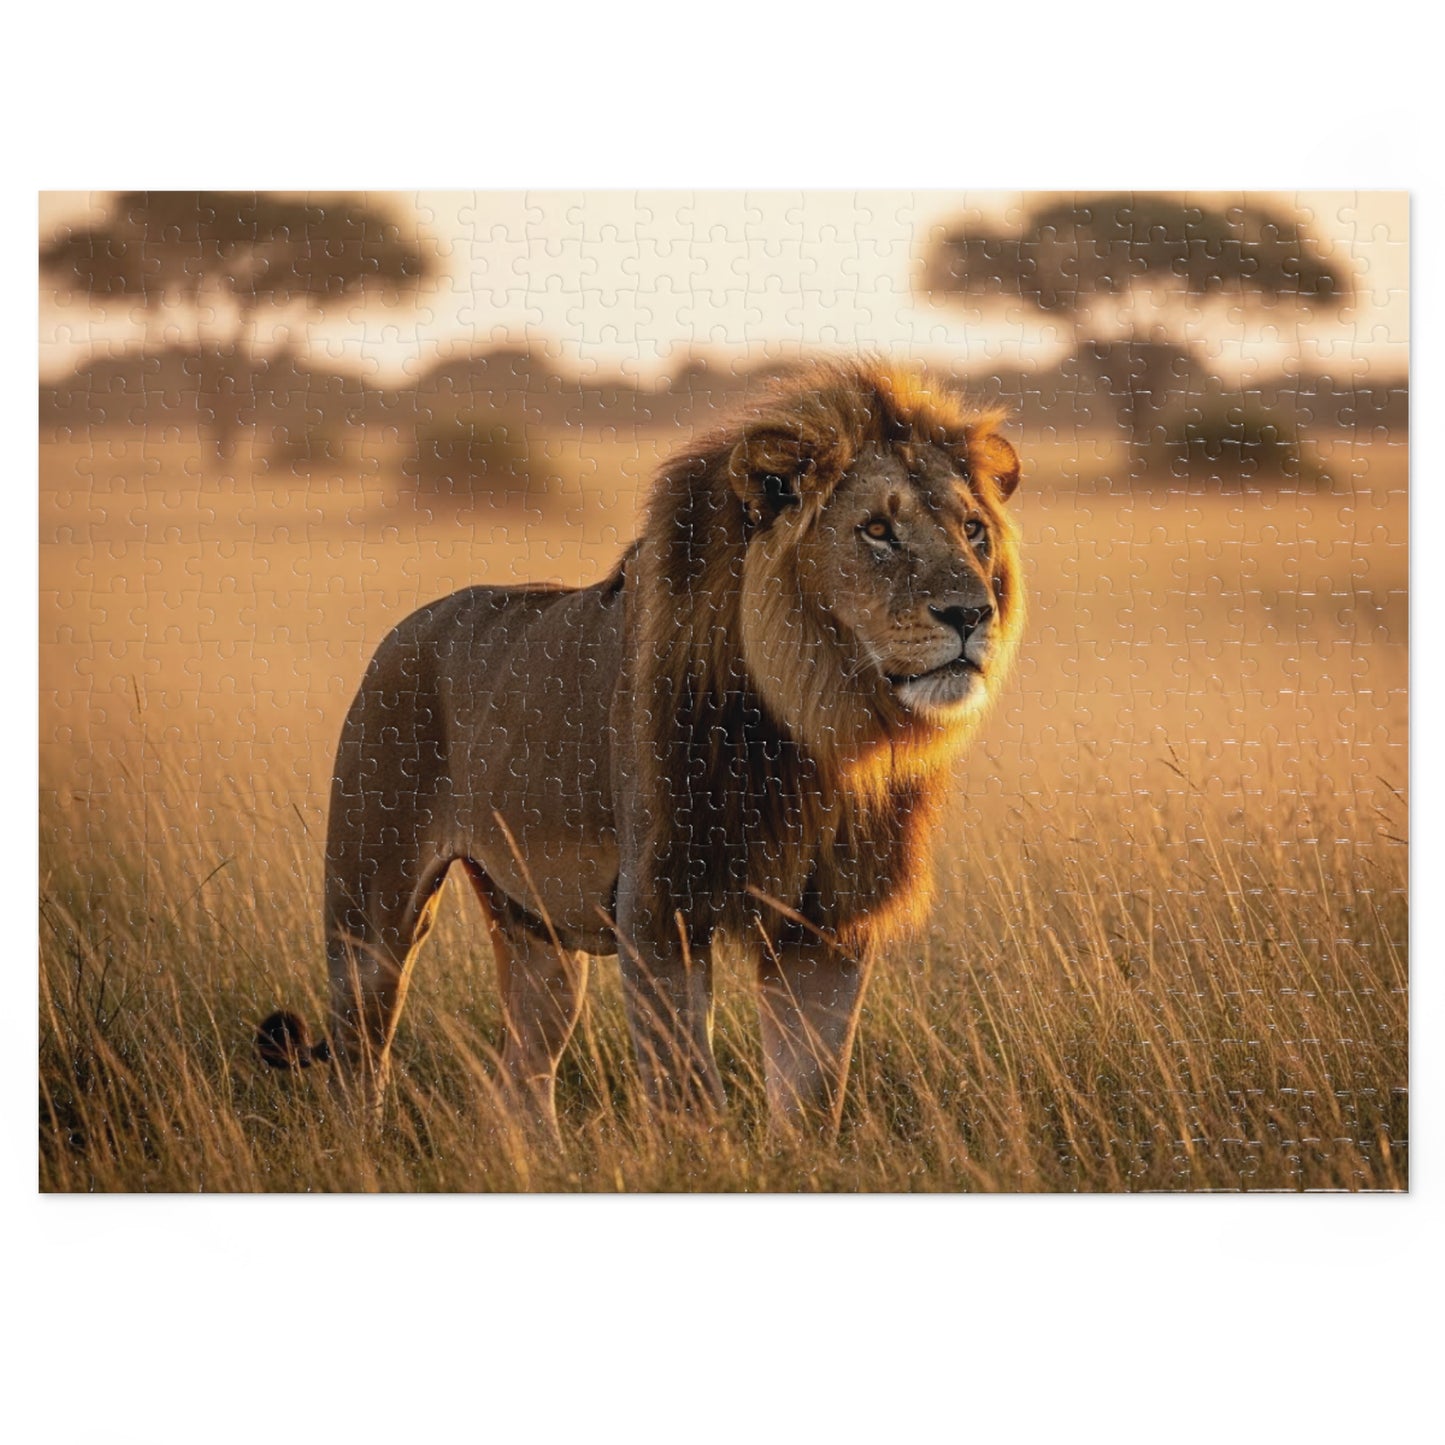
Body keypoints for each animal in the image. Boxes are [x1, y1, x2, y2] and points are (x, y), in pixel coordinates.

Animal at [260, 357, 1024, 1138]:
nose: (972, 613)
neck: (819, 727)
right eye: (876, 530)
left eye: (972, 530)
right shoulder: (659, 905)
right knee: (359, 1061)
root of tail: (404, 629)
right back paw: (364, 1143)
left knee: (521, 1074)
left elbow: (812, 1090)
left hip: (537, 932)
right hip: (368, 915)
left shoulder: (828, 920)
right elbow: (688, 1087)